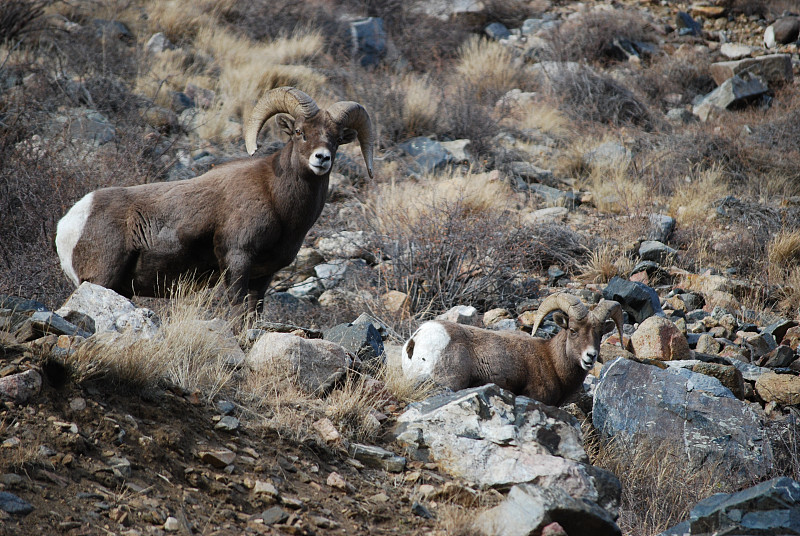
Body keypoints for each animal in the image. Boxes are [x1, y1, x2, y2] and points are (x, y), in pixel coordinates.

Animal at [56, 86, 376, 312]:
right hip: (102, 280)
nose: (321, 158)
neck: (277, 201)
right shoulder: (237, 260)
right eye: (299, 132)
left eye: (336, 139)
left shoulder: (263, 277)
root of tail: (69, 224)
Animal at [400, 296, 624, 404]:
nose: (590, 356)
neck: (551, 361)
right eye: (573, 330)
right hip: (449, 383)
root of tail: (417, 340)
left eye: (599, 334)